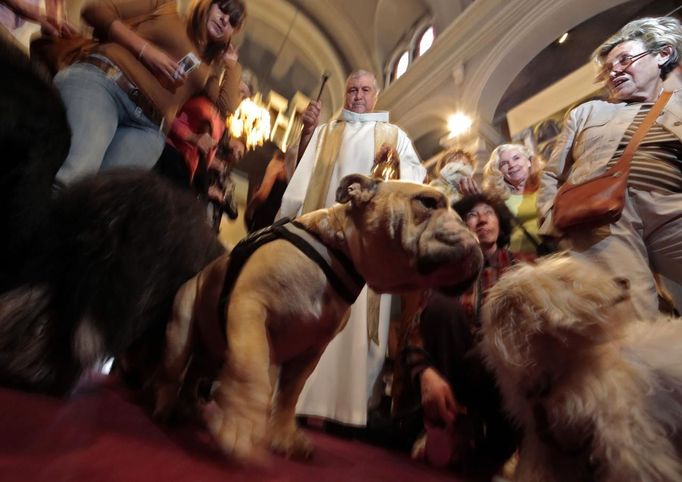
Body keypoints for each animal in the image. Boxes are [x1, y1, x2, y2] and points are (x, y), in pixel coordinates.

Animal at [151, 175, 480, 462]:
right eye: (427, 202)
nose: (476, 239)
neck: (337, 251)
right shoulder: (250, 307)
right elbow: (251, 370)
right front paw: (242, 427)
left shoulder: (311, 350)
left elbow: (289, 395)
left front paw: (284, 437)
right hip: (181, 330)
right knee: (173, 370)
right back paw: (166, 406)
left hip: (214, 353)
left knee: (196, 372)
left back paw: (190, 406)